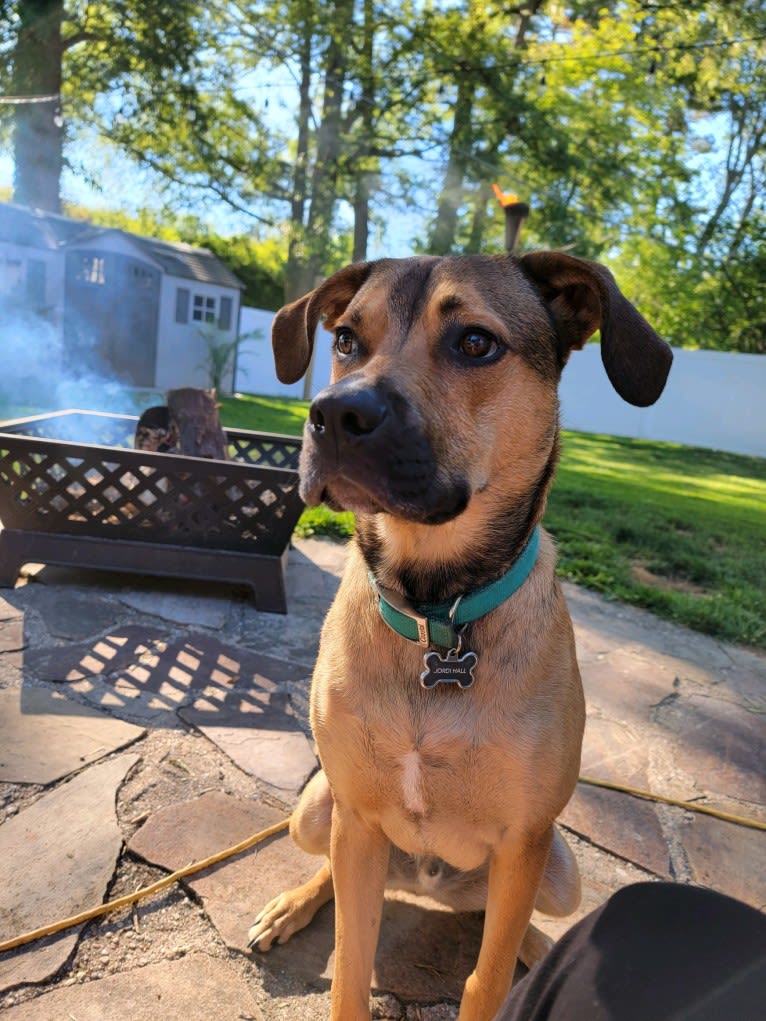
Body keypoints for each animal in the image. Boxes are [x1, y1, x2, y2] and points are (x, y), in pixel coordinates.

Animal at [247, 253, 669, 1021]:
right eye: (346, 338)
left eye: (475, 342)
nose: (333, 414)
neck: (437, 612)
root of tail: (427, 882)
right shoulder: (356, 815)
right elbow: (351, 962)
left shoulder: (525, 839)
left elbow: (486, 976)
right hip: (315, 809)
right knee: (335, 875)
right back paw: (294, 903)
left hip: (560, 869)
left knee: (505, 919)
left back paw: (536, 944)